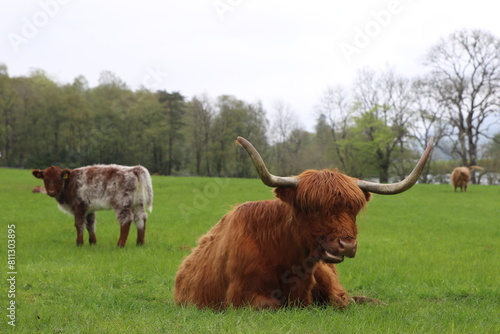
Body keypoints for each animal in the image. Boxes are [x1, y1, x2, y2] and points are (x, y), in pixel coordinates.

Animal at [175, 137, 434, 310]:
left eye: (354, 210)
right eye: (313, 208)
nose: (347, 245)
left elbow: (335, 301)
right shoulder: (240, 295)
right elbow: (269, 305)